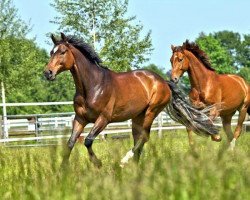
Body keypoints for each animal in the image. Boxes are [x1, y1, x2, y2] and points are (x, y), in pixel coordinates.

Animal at [44, 33, 218, 167]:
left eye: (62, 52)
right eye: (51, 52)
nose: (47, 72)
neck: (93, 86)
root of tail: (163, 81)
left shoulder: (103, 119)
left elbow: (87, 140)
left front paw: (98, 164)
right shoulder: (80, 119)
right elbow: (70, 143)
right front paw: (62, 170)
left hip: (151, 112)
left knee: (144, 138)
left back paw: (124, 161)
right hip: (137, 117)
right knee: (138, 139)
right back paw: (134, 165)